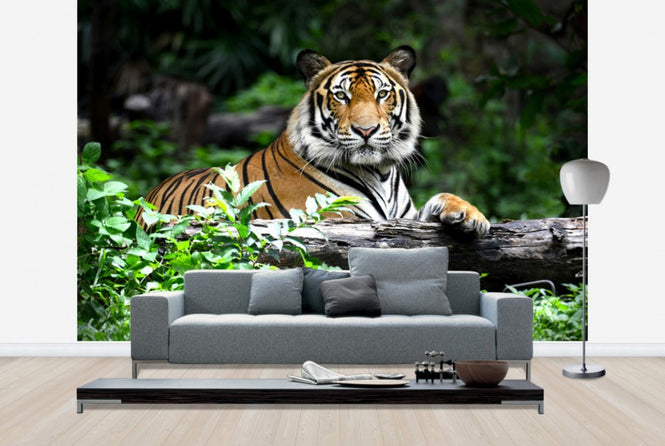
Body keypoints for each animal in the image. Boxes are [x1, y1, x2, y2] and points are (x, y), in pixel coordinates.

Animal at [142, 46, 490, 237]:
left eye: (381, 94)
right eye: (341, 96)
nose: (366, 130)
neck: (379, 172)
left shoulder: (403, 219)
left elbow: (441, 198)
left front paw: (471, 216)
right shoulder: (333, 219)